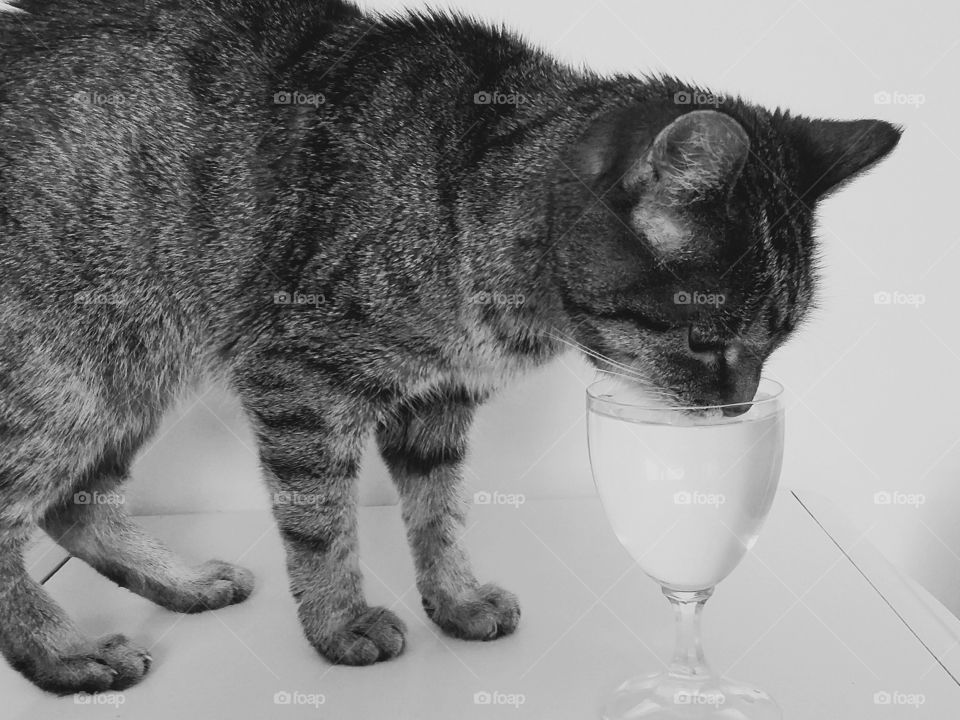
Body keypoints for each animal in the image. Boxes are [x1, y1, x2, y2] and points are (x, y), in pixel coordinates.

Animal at [0, 0, 900, 696]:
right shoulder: (298, 379)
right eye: (708, 340)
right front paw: (338, 622)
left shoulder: (439, 399)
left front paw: (455, 599)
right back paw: (62, 651)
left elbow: (438, 510)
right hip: (66, 377)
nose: (738, 408)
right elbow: (321, 521)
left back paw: (177, 581)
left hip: (134, 372)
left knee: (73, 504)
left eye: (778, 342)